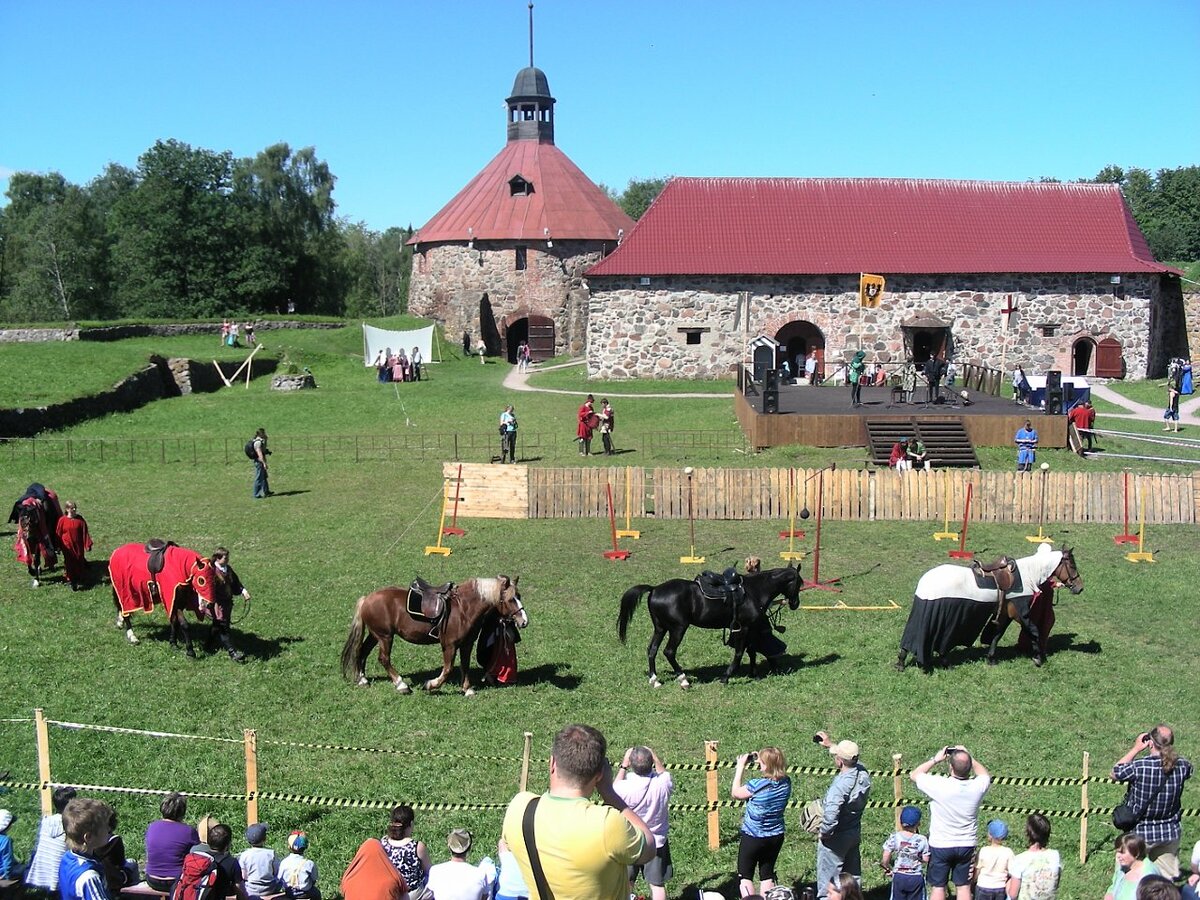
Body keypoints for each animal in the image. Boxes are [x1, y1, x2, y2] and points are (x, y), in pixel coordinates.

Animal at [338, 578, 525, 696]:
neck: (463, 609)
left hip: (376, 635)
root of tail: (367, 599)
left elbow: (464, 666)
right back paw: (401, 685)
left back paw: (363, 679)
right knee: (383, 659)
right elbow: (447, 669)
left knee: (362, 651)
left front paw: (467, 689)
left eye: (519, 596)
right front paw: (430, 685)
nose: (524, 621)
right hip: (385, 637)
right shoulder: (449, 645)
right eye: (510, 599)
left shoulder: (466, 644)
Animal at [624, 566, 801, 686]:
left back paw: (654, 680)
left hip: (660, 628)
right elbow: (739, 653)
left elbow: (751, 651)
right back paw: (683, 679)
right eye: (799, 583)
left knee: (652, 650)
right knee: (669, 652)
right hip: (678, 629)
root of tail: (654, 589)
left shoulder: (750, 628)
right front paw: (726, 677)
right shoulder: (743, 628)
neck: (754, 591)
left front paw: (754, 674)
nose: (795, 604)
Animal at [897, 547, 1084, 672]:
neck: (1028, 574)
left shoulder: (1004, 615)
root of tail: (925, 583)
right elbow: (1033, 631)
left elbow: (996, 635)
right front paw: (1038, 658)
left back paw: (903, 663)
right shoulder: (1020, 613)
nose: (1079, 588)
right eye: (1072, 565)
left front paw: (991, 659)